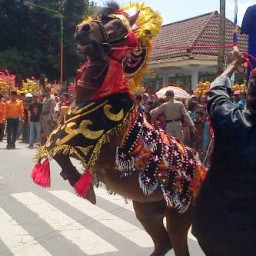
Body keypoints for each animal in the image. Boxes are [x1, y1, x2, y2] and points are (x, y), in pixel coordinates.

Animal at [30, 2, 206, 256]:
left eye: (118, 25)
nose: (82, 29)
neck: (96, 99)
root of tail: (202, 171)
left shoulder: (93, 151)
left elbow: (59, 151)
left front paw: (83, 188)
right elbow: (54, 150)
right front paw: (79, 183)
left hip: (178, 213)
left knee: (177, 245)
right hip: (146, 208)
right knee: (163, 242)